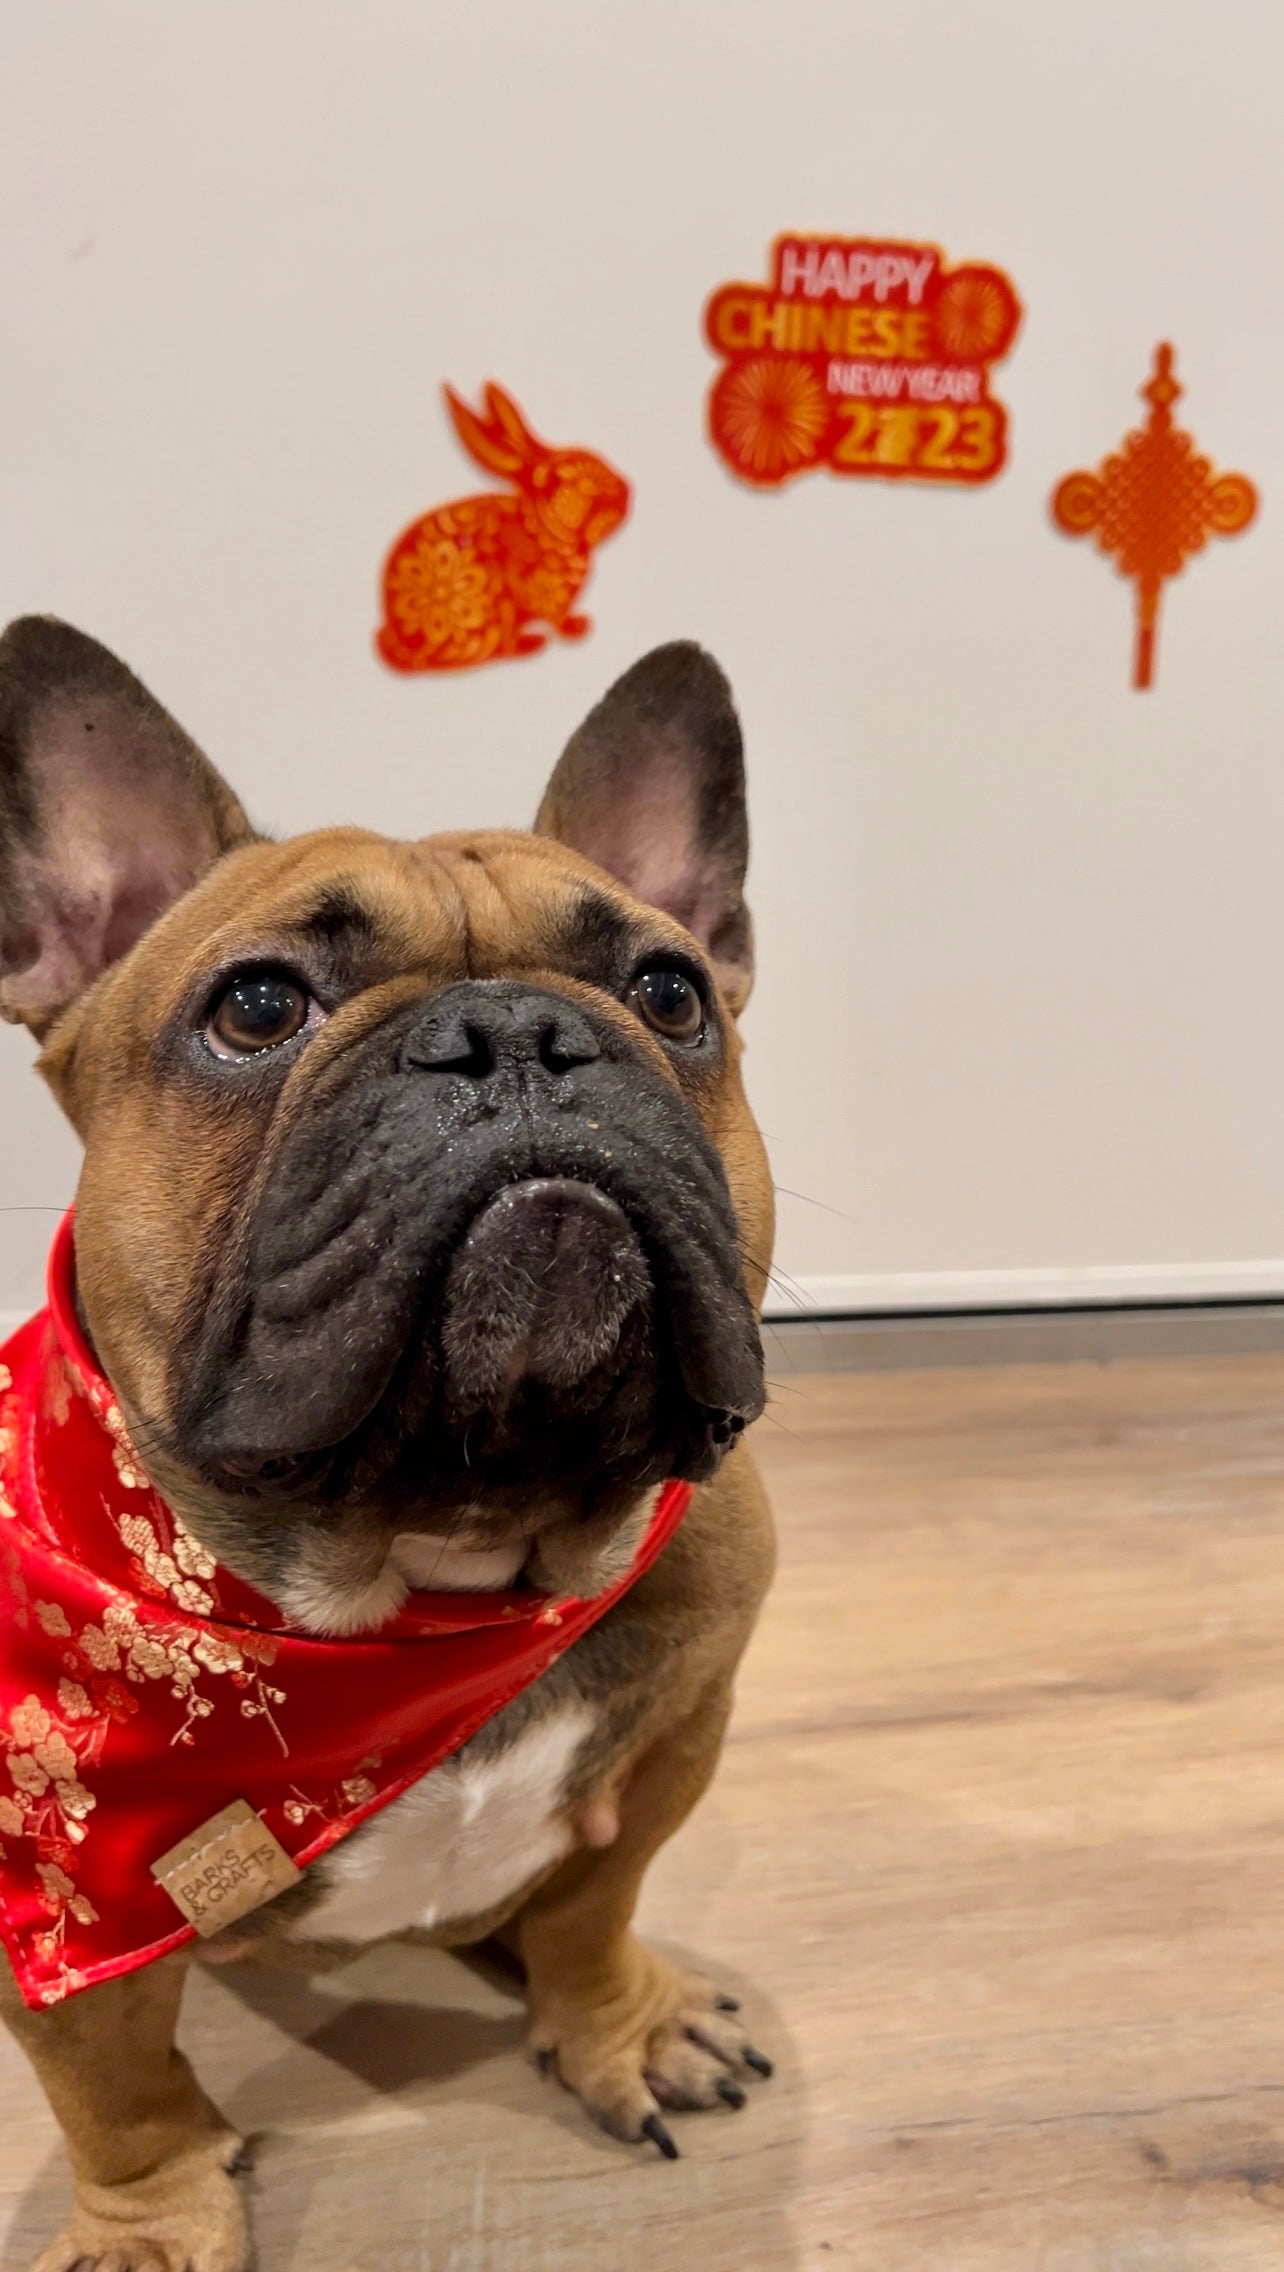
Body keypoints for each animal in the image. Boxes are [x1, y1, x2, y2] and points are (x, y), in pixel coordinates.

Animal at [0, 622, 772, 2272]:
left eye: (670, 991)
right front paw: (152, 2223)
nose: (522, 1035)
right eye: (256, 1008)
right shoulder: (60, 1893)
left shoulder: (680, 1734)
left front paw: (613, 2023)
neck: (446, 1542)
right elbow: (115, 2082)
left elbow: (598, 1901)